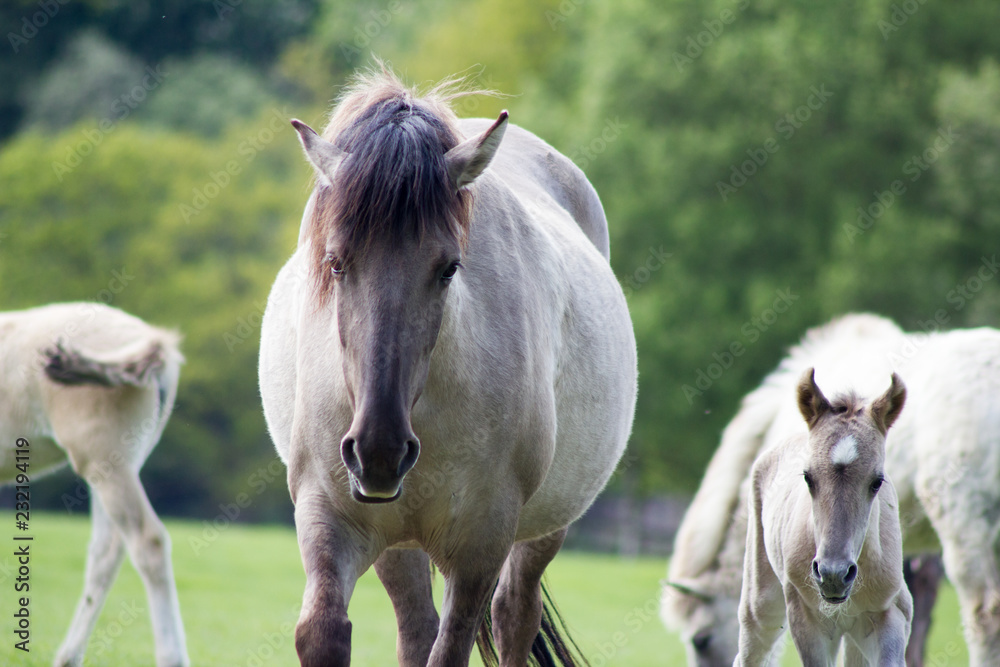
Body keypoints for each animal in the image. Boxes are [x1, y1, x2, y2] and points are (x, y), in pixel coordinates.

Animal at [0, 302, 188, 667]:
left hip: (103, 459)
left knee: (147, 542)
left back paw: (172, 657)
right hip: (117, 465)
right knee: (106, 552)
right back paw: (67, 657)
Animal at [258, 66, 637, 666]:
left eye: (449, 268)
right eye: (335, 263)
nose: (380, 451)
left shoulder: (481, 542)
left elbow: (455, 643)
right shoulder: (329, 515)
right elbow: (322, 630)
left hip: (545, 526)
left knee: (514, 615)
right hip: (395, 542)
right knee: (417, 626)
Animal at [735, 368, 912, 666]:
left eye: (877, 482)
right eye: (808, 478)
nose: (833, 575)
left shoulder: (892, 613)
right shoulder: (807, 619)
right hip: (761, 606)